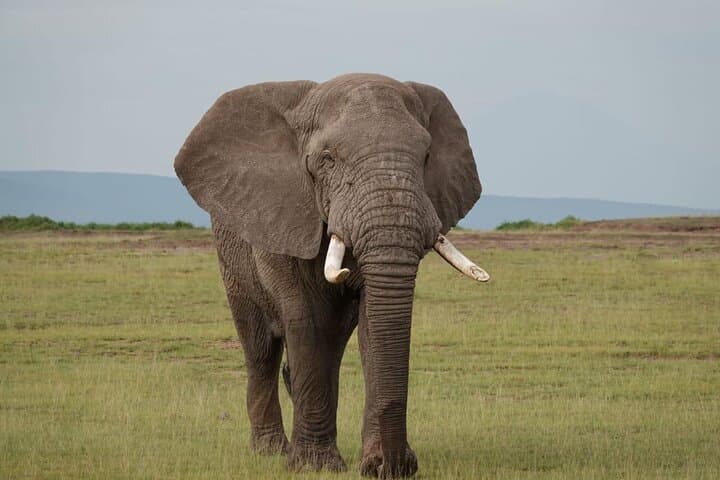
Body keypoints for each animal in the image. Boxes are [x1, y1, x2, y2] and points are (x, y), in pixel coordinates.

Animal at [174, 73, 489, 478]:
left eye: (426, 158)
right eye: (327, 160)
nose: (398, 466)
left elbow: (372, 324)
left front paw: (371, 463)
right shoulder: (283, 215)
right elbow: (305, 320)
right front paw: (314, 466)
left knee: (333, 343)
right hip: (230, 257)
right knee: (260, 348)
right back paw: (270, 451)